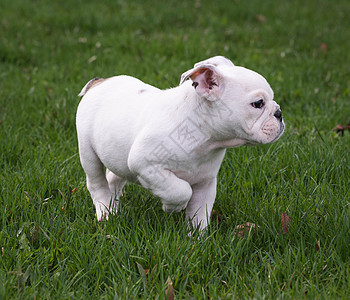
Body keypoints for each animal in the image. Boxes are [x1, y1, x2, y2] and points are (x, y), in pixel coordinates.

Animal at [76, 55, 284, 230]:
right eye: (258, 103)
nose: (279, 113)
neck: (204, 136)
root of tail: (99, 82)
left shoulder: (205, 183)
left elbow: (200, 213)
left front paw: (196, 240)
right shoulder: (146, 165)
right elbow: (181, 190)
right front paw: (172, 207)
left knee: (114, 177)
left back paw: (114, 207)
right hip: (88, 153)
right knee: (96, 183)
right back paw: (105, 212)